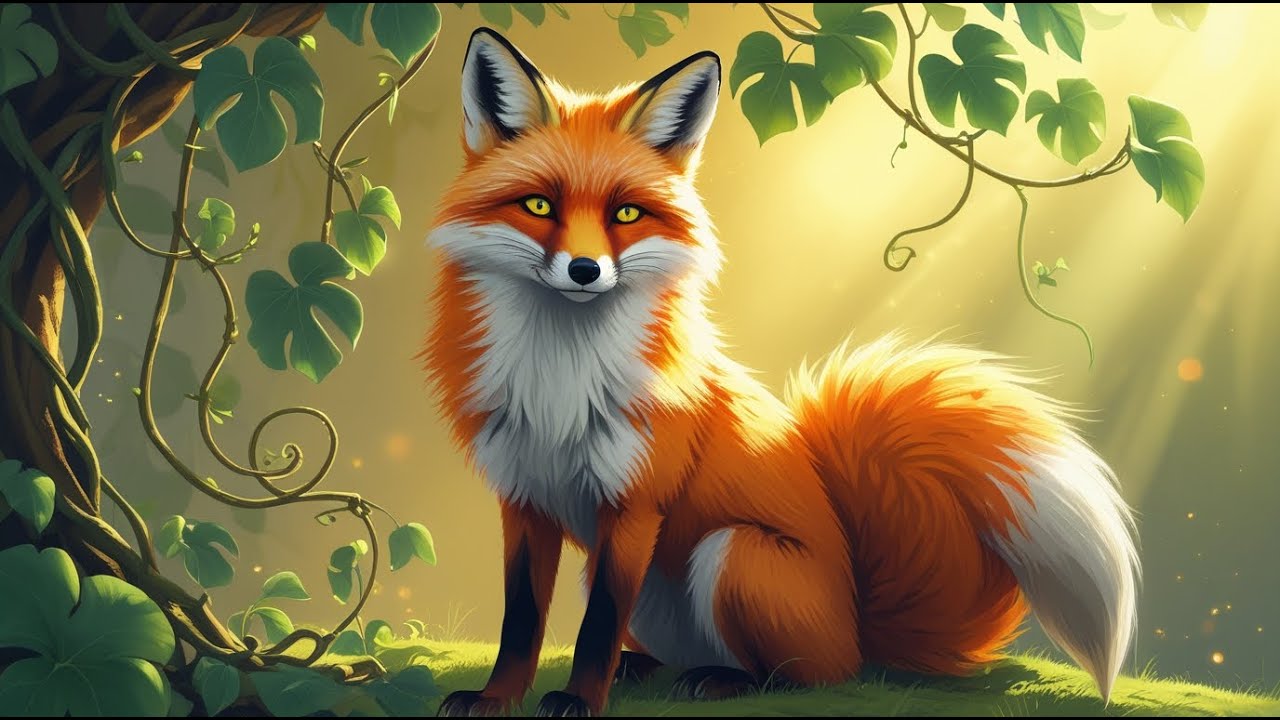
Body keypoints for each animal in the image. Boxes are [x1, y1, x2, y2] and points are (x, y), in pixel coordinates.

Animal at [423, 27, 1140, 717]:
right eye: (539, 206)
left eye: (625, 214)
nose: (583, 270)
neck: (559, 381)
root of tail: (861, 629)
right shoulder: (524, 499)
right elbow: (521, 622)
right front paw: (495, 699)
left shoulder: (635, 504)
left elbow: (596, 627)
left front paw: (576, 700)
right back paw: (649, 669)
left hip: (733, 552)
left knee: (805, 678)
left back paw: (725, 681)